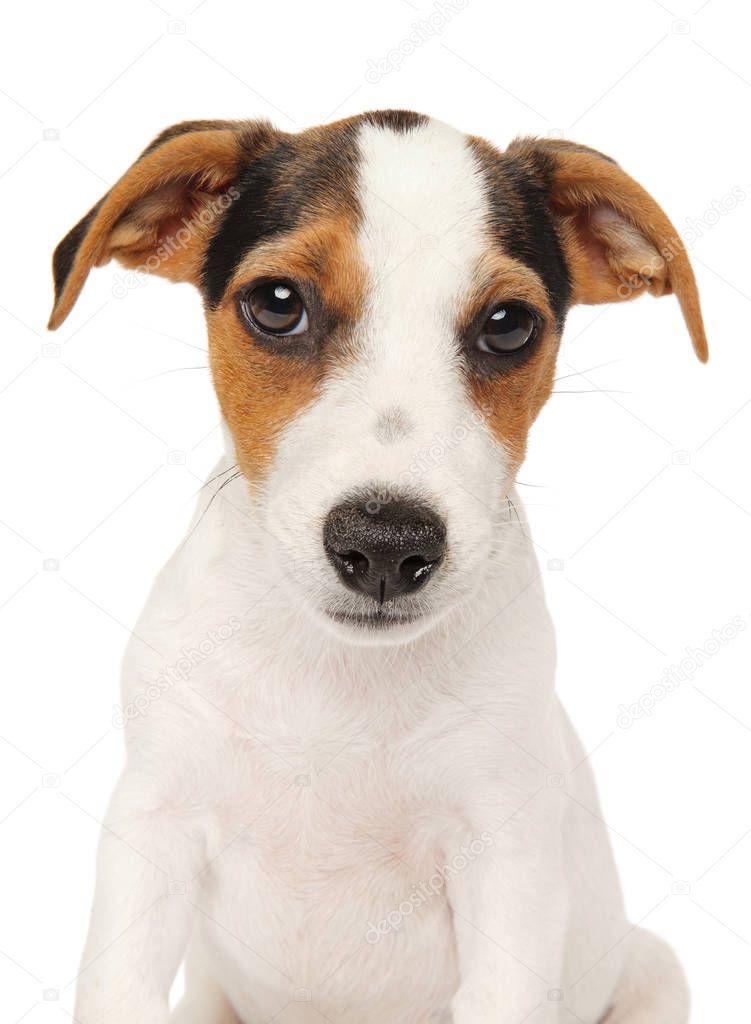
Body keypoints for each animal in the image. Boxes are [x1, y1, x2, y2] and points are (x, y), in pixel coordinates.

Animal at [49, 110, 704, 1024]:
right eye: (277, 304)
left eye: (508, 324)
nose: (388, 544)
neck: (336, 681)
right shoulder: (152, 823)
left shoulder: (505, 864)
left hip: (652, 972)